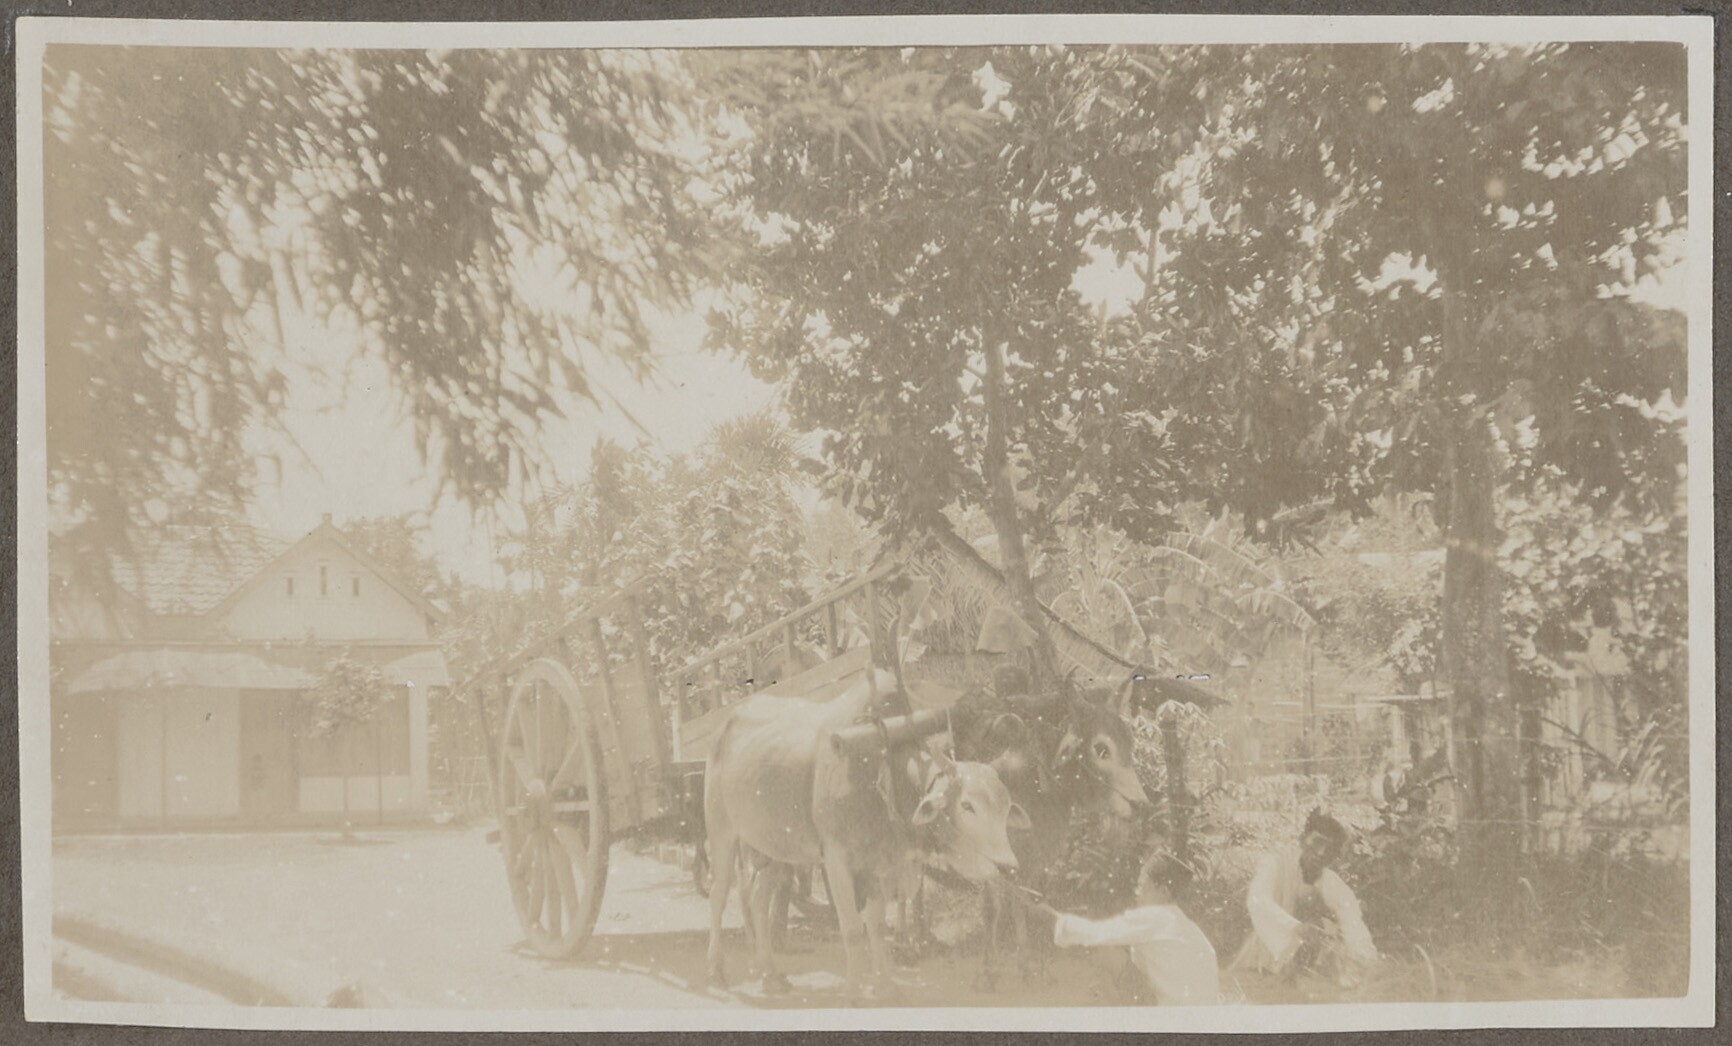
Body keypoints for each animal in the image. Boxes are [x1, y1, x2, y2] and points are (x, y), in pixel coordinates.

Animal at [704, 667, 1028, 1003]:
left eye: (1006, 807)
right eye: (967, 805)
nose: (1009, 867)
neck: (882, 770)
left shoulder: (881, 867)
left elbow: (876, 927)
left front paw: (885, 986)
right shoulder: (837, 860)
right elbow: (852, 929)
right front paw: (853, 992)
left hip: (775, 846)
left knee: (758, 900)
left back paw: (771, 975)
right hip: (721, 829)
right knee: (718, 894)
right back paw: (716, 971)